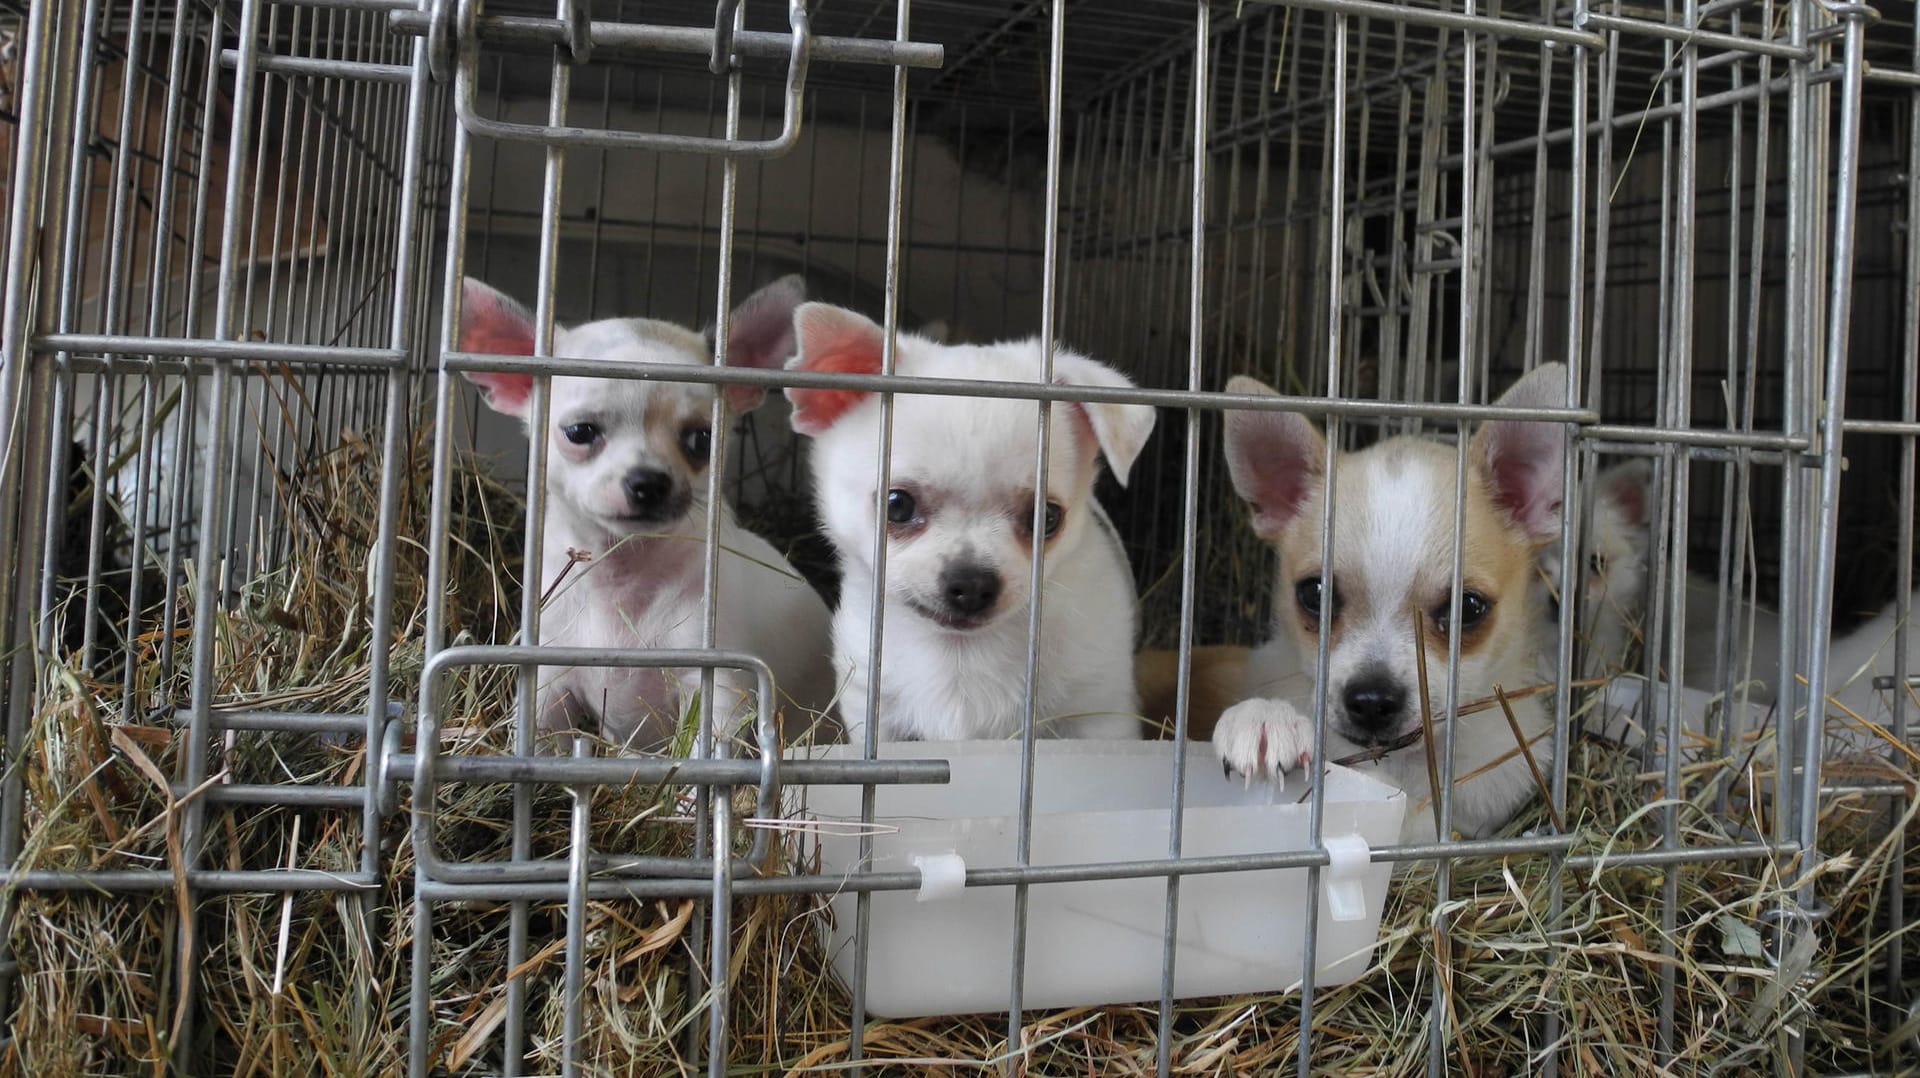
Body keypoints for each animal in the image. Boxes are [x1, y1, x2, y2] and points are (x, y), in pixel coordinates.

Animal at [458, 274, 840, 749]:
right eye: (579, 432)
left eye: (702, 439)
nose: (648, 481)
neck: (625, 580)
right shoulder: (549, 689)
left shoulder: (719, 692)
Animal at [779, 299, 1152, 737]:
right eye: (897, 505)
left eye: (1047, 518)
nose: (973, 583)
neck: (961, 655)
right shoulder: (875, 714)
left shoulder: (1098, 715)